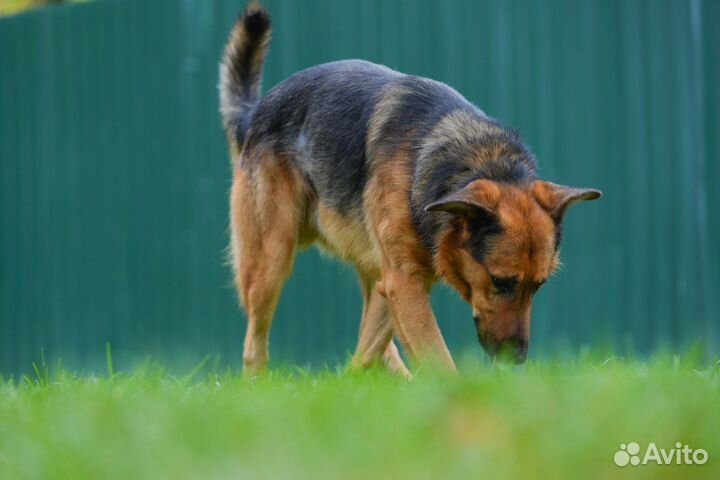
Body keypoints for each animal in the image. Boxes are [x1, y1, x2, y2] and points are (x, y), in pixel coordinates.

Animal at [219, 4, 600, 378]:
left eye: (538, 285)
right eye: (501, 282)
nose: (515, 361)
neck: (475, 158)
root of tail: (254, 115)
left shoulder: (398, 284)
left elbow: (371, 349)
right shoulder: (403, 283)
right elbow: (438, 360)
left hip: (368, 268)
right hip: (272, 257)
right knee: (254, 343)